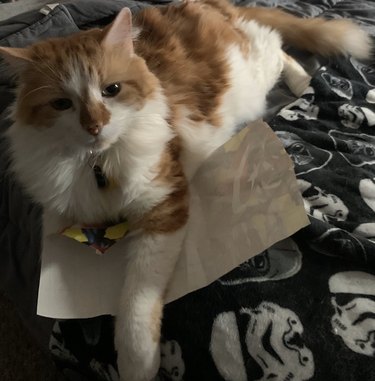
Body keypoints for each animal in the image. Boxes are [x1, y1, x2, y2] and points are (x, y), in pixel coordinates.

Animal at [0, 0, 370, 380]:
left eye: (111, 89)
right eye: (62, 104)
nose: (94, 127)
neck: (98, 162)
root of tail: (208, 4)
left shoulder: (163, 203)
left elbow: (137, 298)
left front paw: (137, 364)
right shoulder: (59, 212)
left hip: (253, 75)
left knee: (279, 46)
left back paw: (302, 82)